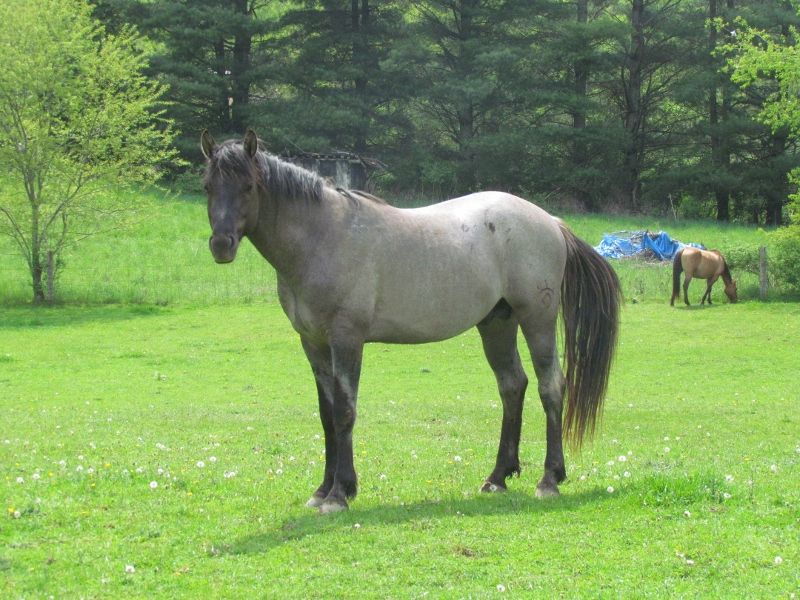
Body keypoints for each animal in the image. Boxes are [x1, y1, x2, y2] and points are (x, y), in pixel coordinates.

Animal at [201, 129, 622, 514]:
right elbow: (326, 415)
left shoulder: (346, 340)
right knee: (512, 386)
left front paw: (339, 494)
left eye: (249, 186)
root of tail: (550, 221)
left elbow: (344, 411)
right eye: (208, 186)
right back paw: (498, 476)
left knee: (551, 387)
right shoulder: (314, 343)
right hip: (497, 323)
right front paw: (323, 490)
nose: (221, 245)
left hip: (537, 320)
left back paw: (549, 479)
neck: (323, 237)